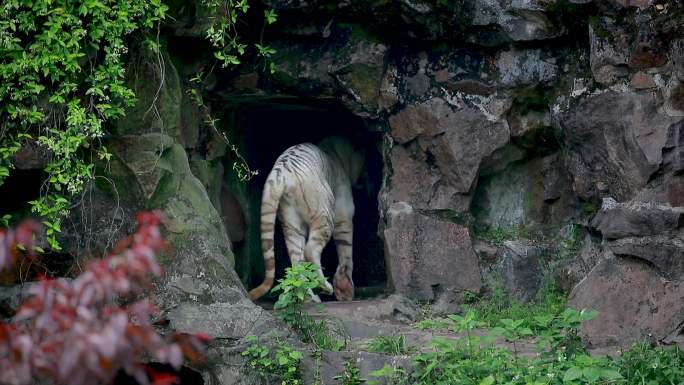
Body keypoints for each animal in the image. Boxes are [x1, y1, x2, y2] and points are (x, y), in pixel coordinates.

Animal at [246, 136, 364, 302]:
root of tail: (280, 172)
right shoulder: (343, 213)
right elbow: (346, 250)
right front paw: (345, 289)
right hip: (324, 214)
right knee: (310, 250)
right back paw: (325, 287)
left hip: (291, 224)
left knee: (297, 261)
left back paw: (309, 297)